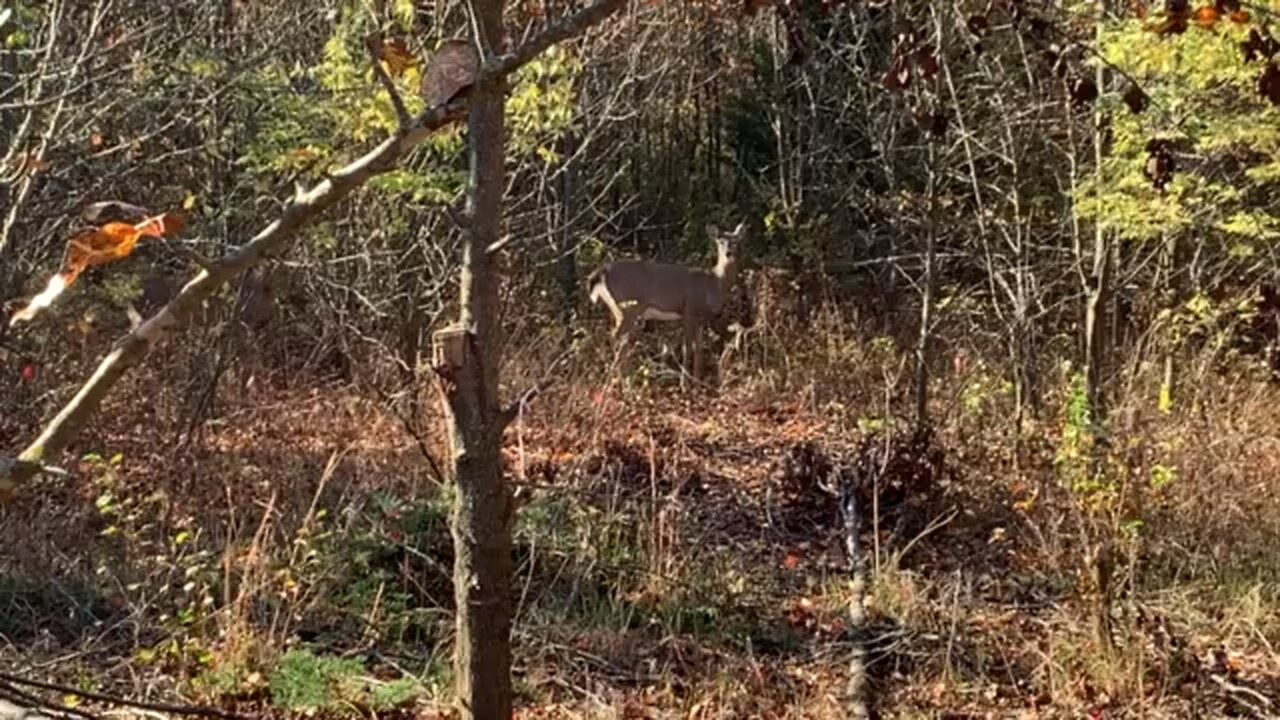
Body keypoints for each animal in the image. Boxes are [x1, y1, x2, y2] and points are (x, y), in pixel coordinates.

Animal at [586, 221, 747, 384]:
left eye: (736, 241)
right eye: (720, 241)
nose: (729, 253)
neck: (714, 282)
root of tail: (600, 272)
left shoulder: (701, 318)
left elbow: (699, 348)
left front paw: (697, 382)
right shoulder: (689, 309)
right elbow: (687, 348)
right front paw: (684, 384)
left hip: (620, 309)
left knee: (621, 340)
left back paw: (624, 378)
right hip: (628, 306)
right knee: (615, 336)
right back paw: (618, 379)